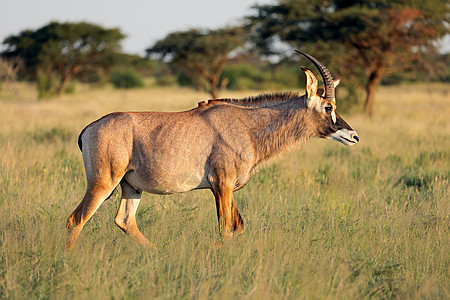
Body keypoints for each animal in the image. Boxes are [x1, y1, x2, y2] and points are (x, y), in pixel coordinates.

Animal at [65, 51, 358, 251]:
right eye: (329, 107)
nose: (353, 136)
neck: (247, 125)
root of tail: (89, 128)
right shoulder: (222, 185)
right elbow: (225, 229)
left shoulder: (226, 188)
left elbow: (238, 227)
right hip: (103, 183)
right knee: (75, 219)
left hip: (131, 186)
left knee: (125, 220)